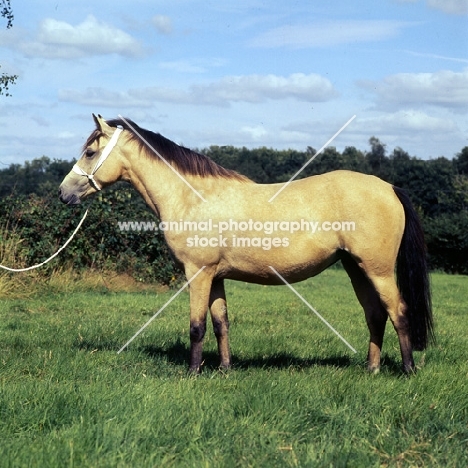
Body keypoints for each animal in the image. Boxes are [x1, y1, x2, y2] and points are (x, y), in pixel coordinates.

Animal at [59, 114, 436, 372]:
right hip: (356, 268)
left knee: (399, 312)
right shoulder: (216, 276)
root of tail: (389, 187)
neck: (192, 196)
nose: (63, 193)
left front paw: (192, 373)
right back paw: (372, 369)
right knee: (375, 315)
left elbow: (196, 327)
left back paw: (407, 370)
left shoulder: (198, 273)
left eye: (90, 152)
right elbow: (220, 323)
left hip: (378, 270)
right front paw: (225, 369)